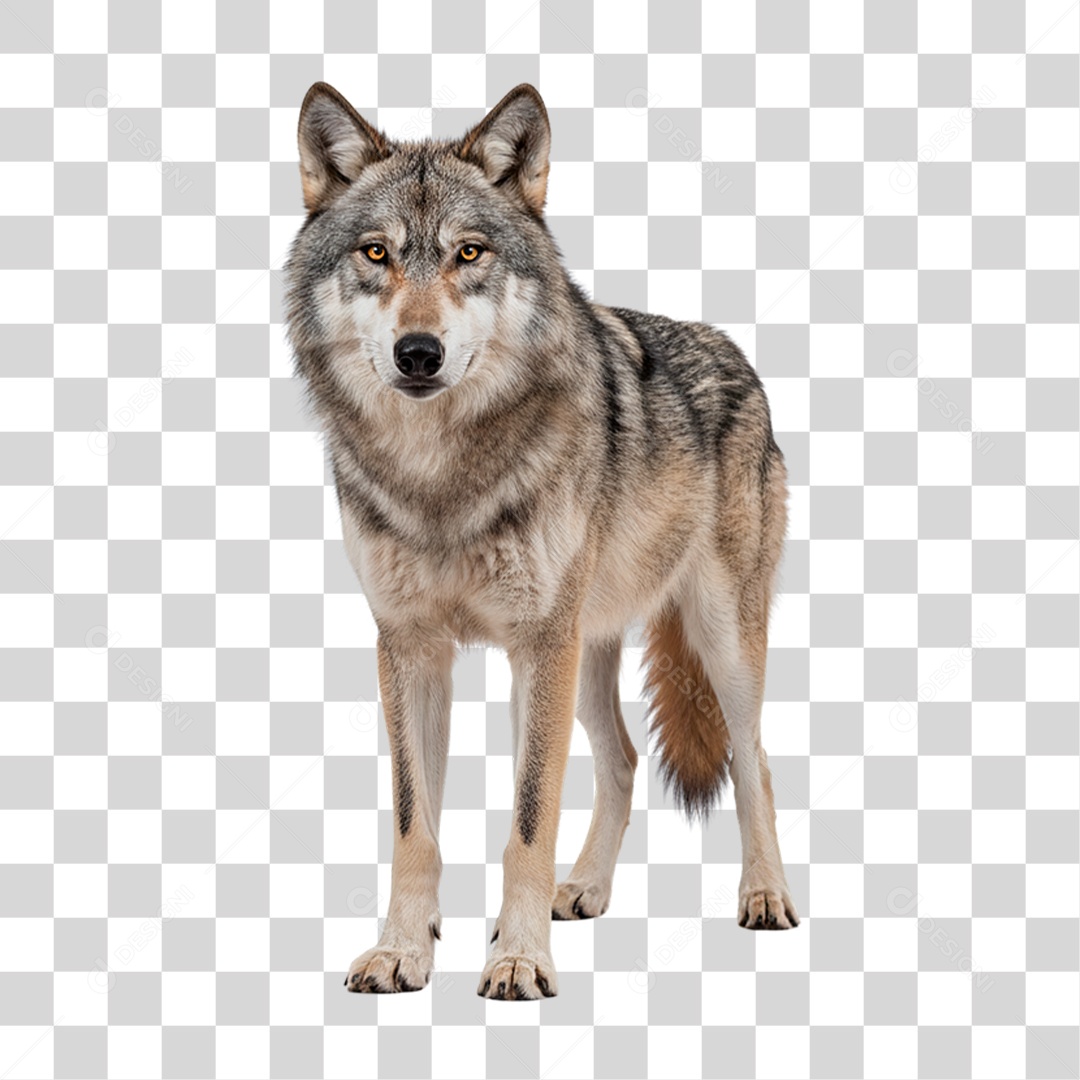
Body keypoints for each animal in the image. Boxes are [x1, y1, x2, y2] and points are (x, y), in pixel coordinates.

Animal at [284, 82, 799, 1000]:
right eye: (377, 253)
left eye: (470, 252)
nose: (420, 353)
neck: (440, 478)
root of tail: (737, 354)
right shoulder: (410, 648)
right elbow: (417, 825)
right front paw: (403, 950)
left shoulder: (536, 644)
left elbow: (529, 819)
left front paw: (519, 961)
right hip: (585, 658)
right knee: (623, 759)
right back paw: (583, 890)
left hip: (714, 645)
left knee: (755, 761)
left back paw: (765, 895)